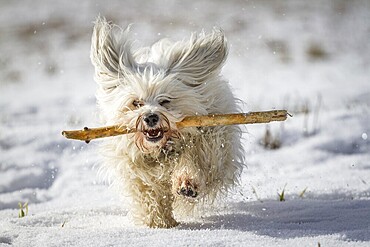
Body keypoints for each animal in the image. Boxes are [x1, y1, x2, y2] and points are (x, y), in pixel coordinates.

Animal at [90, 17, 244, 229]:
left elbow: (196, 159)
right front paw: (159, 223)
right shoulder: (134, 167)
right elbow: (148, 193)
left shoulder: (212, 141)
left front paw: (187, 182)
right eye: (136, 103)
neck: (162, 149)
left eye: (165, 101)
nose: (150, 117)